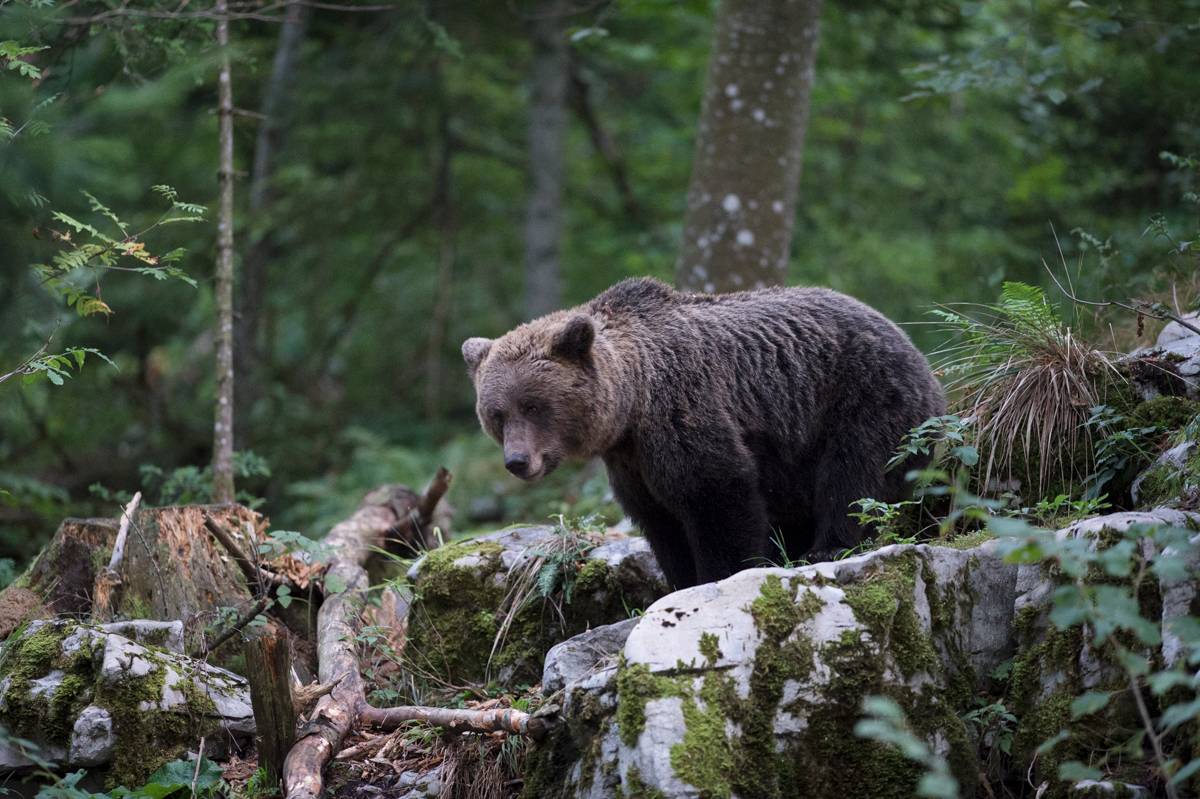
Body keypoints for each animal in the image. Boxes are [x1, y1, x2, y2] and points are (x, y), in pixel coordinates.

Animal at [463, 277, 940, 587]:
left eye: (533, 405)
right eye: (497, 414)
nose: (517, 461)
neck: (630, 407)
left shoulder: (681, 411)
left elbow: (716, 494)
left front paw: (719, 574)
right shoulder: (631, 463)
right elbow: (661, 521)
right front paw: (680, 579)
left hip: (861, 398)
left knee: (854, 477)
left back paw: (828, 547)